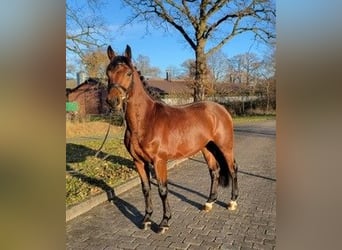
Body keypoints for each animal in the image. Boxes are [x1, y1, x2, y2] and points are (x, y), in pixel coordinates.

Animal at [105, 45, 239, 234]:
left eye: (128, 73)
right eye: (108, 72)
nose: (112, 101)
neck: (145, 121)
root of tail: (221, 109)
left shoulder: (159, 161)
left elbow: (162, 190)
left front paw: (164, 222)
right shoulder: (138, 161)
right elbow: (146, 189)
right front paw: (146, 219)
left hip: (225, 147)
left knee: (233, 169)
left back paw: (232, 201)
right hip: (207, 148)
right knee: (214, 172)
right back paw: (209, 203)